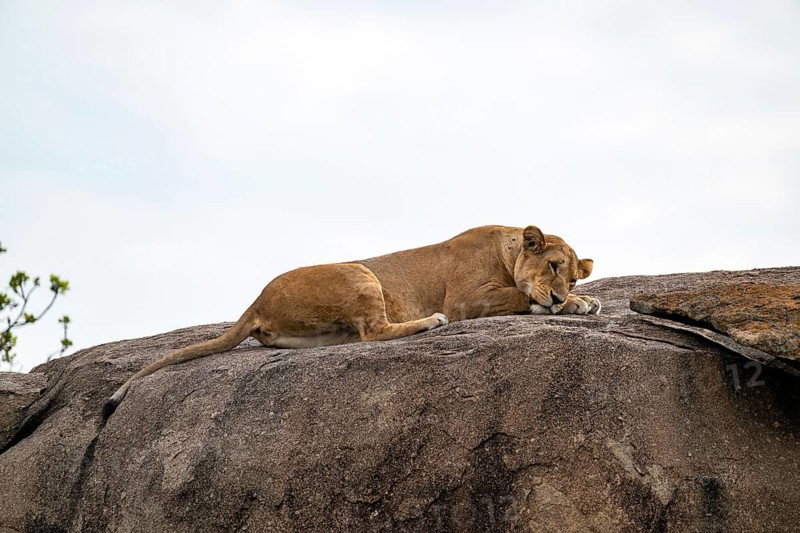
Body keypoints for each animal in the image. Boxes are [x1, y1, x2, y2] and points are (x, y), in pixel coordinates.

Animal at [103, 225, 598, 416]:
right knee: (374, 332)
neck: (508, 249)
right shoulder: (466, 298)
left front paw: (583, 303)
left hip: (318, 333)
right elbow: (520, 295)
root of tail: (257, 301)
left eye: (572, 274)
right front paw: (557, 305)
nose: (561, 293)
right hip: (360, 271)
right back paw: (430, 322)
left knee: (357, 337)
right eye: (553, 265)